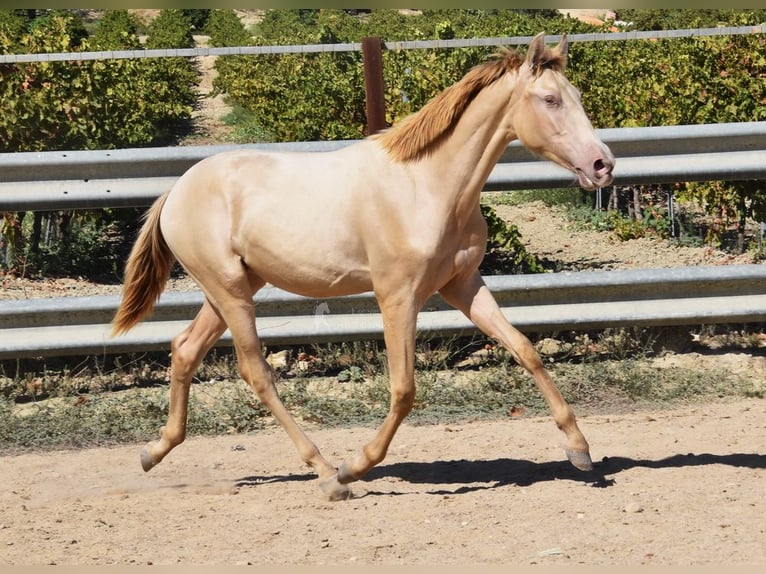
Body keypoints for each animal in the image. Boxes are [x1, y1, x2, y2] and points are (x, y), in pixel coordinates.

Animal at [112, 33, 616, 502]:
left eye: (577, 95)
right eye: (550, 99)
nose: (603, 165)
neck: (426, 185)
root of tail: (175, 191)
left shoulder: (463, 285)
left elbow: (525, 349)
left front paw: (580, 451)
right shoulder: (398, 297)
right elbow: (404, 388)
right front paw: (353, 468)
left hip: (232, 289)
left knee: (184, 349)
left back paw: (153, 452)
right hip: (230, 291)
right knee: (255, 371)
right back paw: (325, 473)